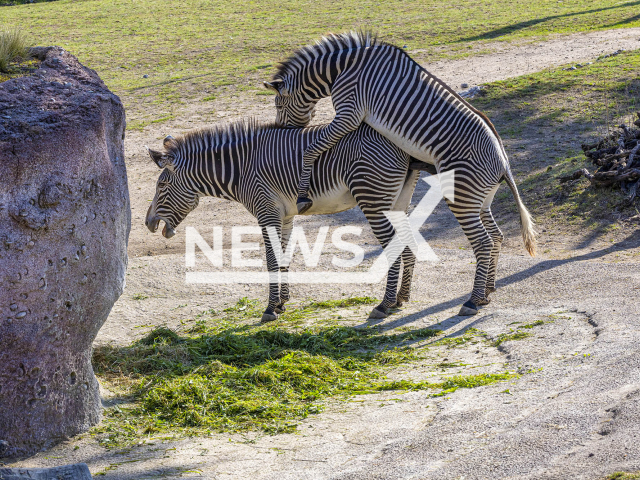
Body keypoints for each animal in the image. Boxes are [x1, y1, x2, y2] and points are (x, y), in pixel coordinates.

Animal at [145, 120, 436, 322]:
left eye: (162, 186)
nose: (148, 224)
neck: (241, 170)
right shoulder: (284, 216)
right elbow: (283, 257)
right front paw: (282, 303)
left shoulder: (266, 212)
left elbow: (271, 260)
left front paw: (269, 309)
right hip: (398, 201)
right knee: (409, 245)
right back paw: (401, 298)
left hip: (374, 199)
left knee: (396, 247)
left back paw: (383, 305)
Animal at [262, 30, 536, 316]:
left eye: (278, 104)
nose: (282, 131)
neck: (343, 68)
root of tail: (504, 162)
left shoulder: (349, 112)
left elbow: (312, 149)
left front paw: (304, 193)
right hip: (481, 199)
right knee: (496, 236)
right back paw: (486, 293)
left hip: (461, 194)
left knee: (483, 242)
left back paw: (472, 300)